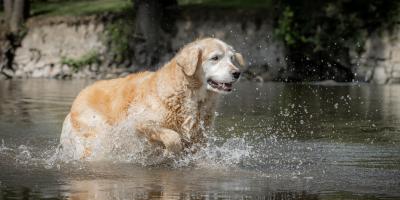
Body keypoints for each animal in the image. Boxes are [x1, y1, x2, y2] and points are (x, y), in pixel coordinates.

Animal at [60, 37, 244, 160]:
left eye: (232, 58)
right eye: (215, 58)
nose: (237, 73)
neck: (187, 94)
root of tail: (79, 97)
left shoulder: (199, 138)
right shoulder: (139, 122)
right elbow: (172, 136)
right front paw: (168, 152)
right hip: (98, 135)